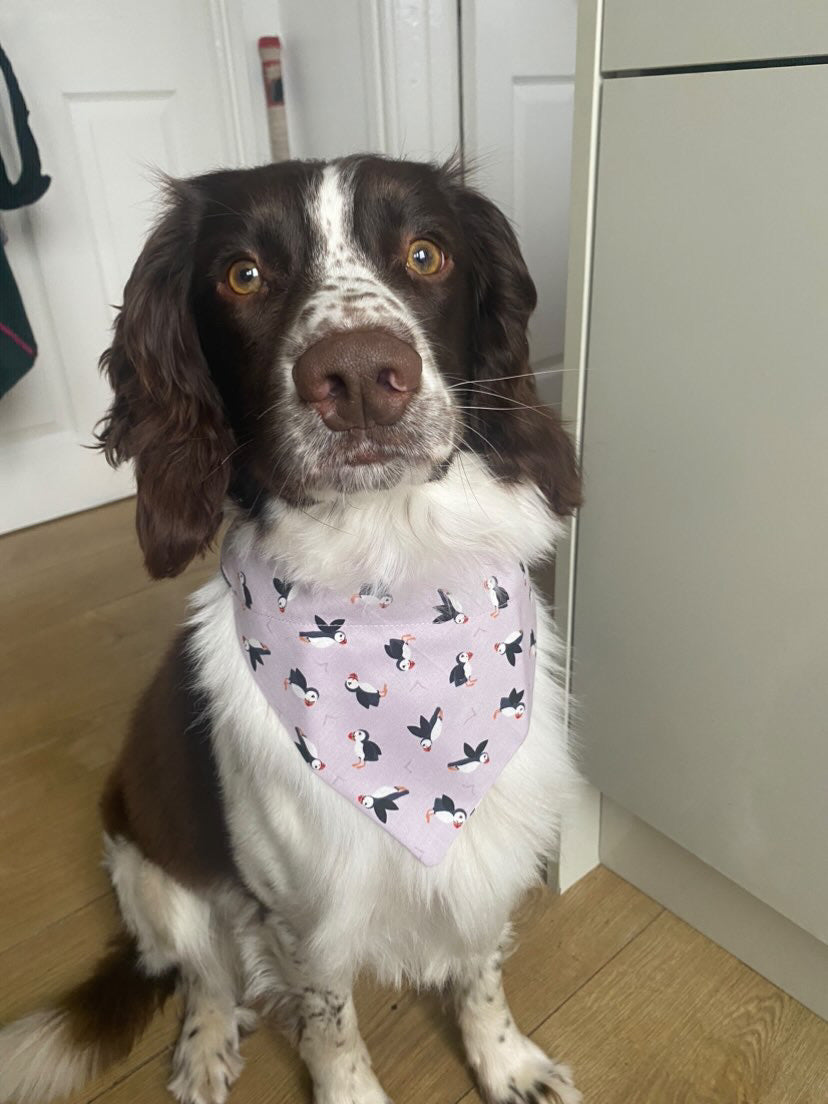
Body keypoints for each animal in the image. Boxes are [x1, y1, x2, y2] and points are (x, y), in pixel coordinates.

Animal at [0, 155, 582, 1104]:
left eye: (425, 254)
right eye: (243, 275)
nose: (359, 376)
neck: (390, 576)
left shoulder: (488, 842)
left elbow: (479, 968)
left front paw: (506, 1063)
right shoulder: (302, 910)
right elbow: (330, 1026)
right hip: (151, 861)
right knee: (202, 970)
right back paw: (203, 1046)